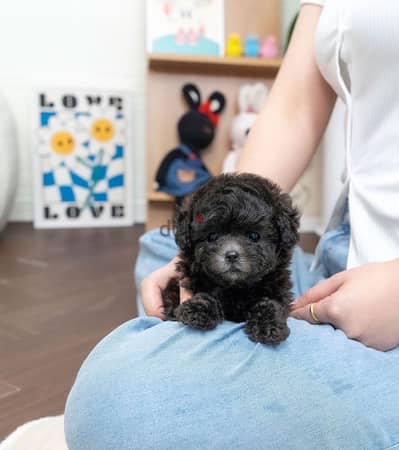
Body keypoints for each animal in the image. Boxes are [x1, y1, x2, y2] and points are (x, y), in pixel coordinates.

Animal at [162, 172, 300, 344]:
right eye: (212, 236)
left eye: (254, 236)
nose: (232, 255)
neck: (235, 288)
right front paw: (198, 309)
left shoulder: (279, 287)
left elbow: (273, 303)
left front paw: (268, 324)